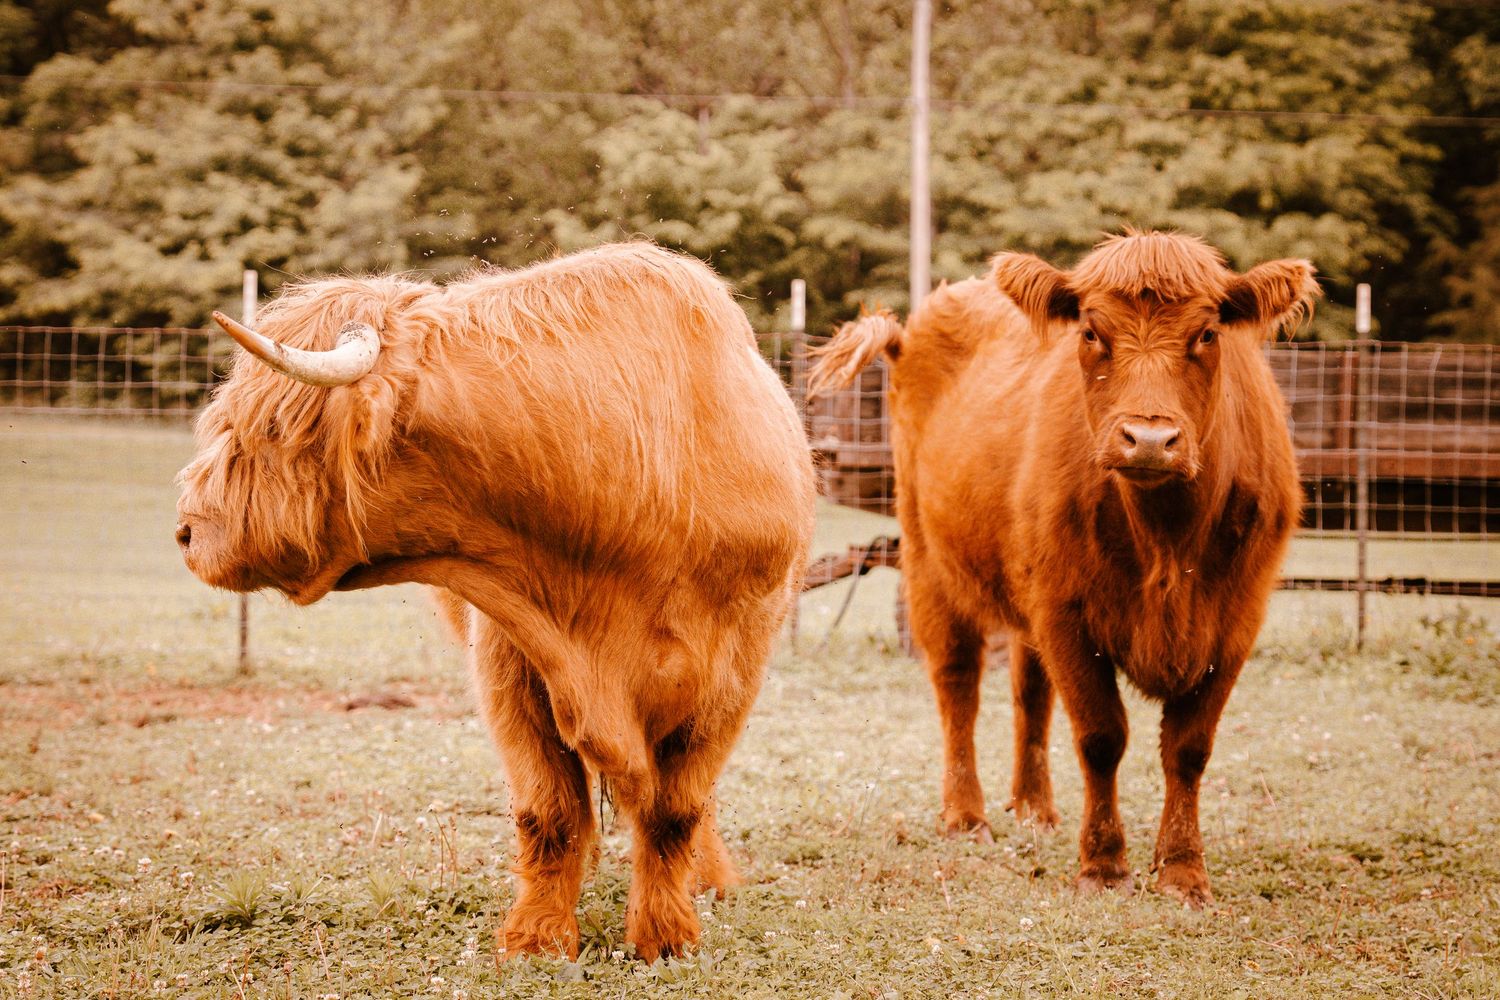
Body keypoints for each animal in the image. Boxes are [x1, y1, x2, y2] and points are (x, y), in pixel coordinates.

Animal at [175, 243, 817, 960]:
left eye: (272, 424)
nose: (187, 529)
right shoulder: (512, 659)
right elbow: (550, 809)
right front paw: (537, 936)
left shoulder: (732, 672)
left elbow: (676, 808)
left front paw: (666, 935)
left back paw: (711, 878)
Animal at [808, 231, 1314, 906]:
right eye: (1092, 332)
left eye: (1207, 333)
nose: (1148, 439)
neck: (1166, 539)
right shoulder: (1068, 613)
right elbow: (1101, 737)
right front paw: (1103, 864)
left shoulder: (1235, 619)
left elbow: (1189, 747)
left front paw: (1183, 871)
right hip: (929, 561)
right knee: (958, 684)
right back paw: (966, 815)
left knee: (1030, 691)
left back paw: (1034, 807)